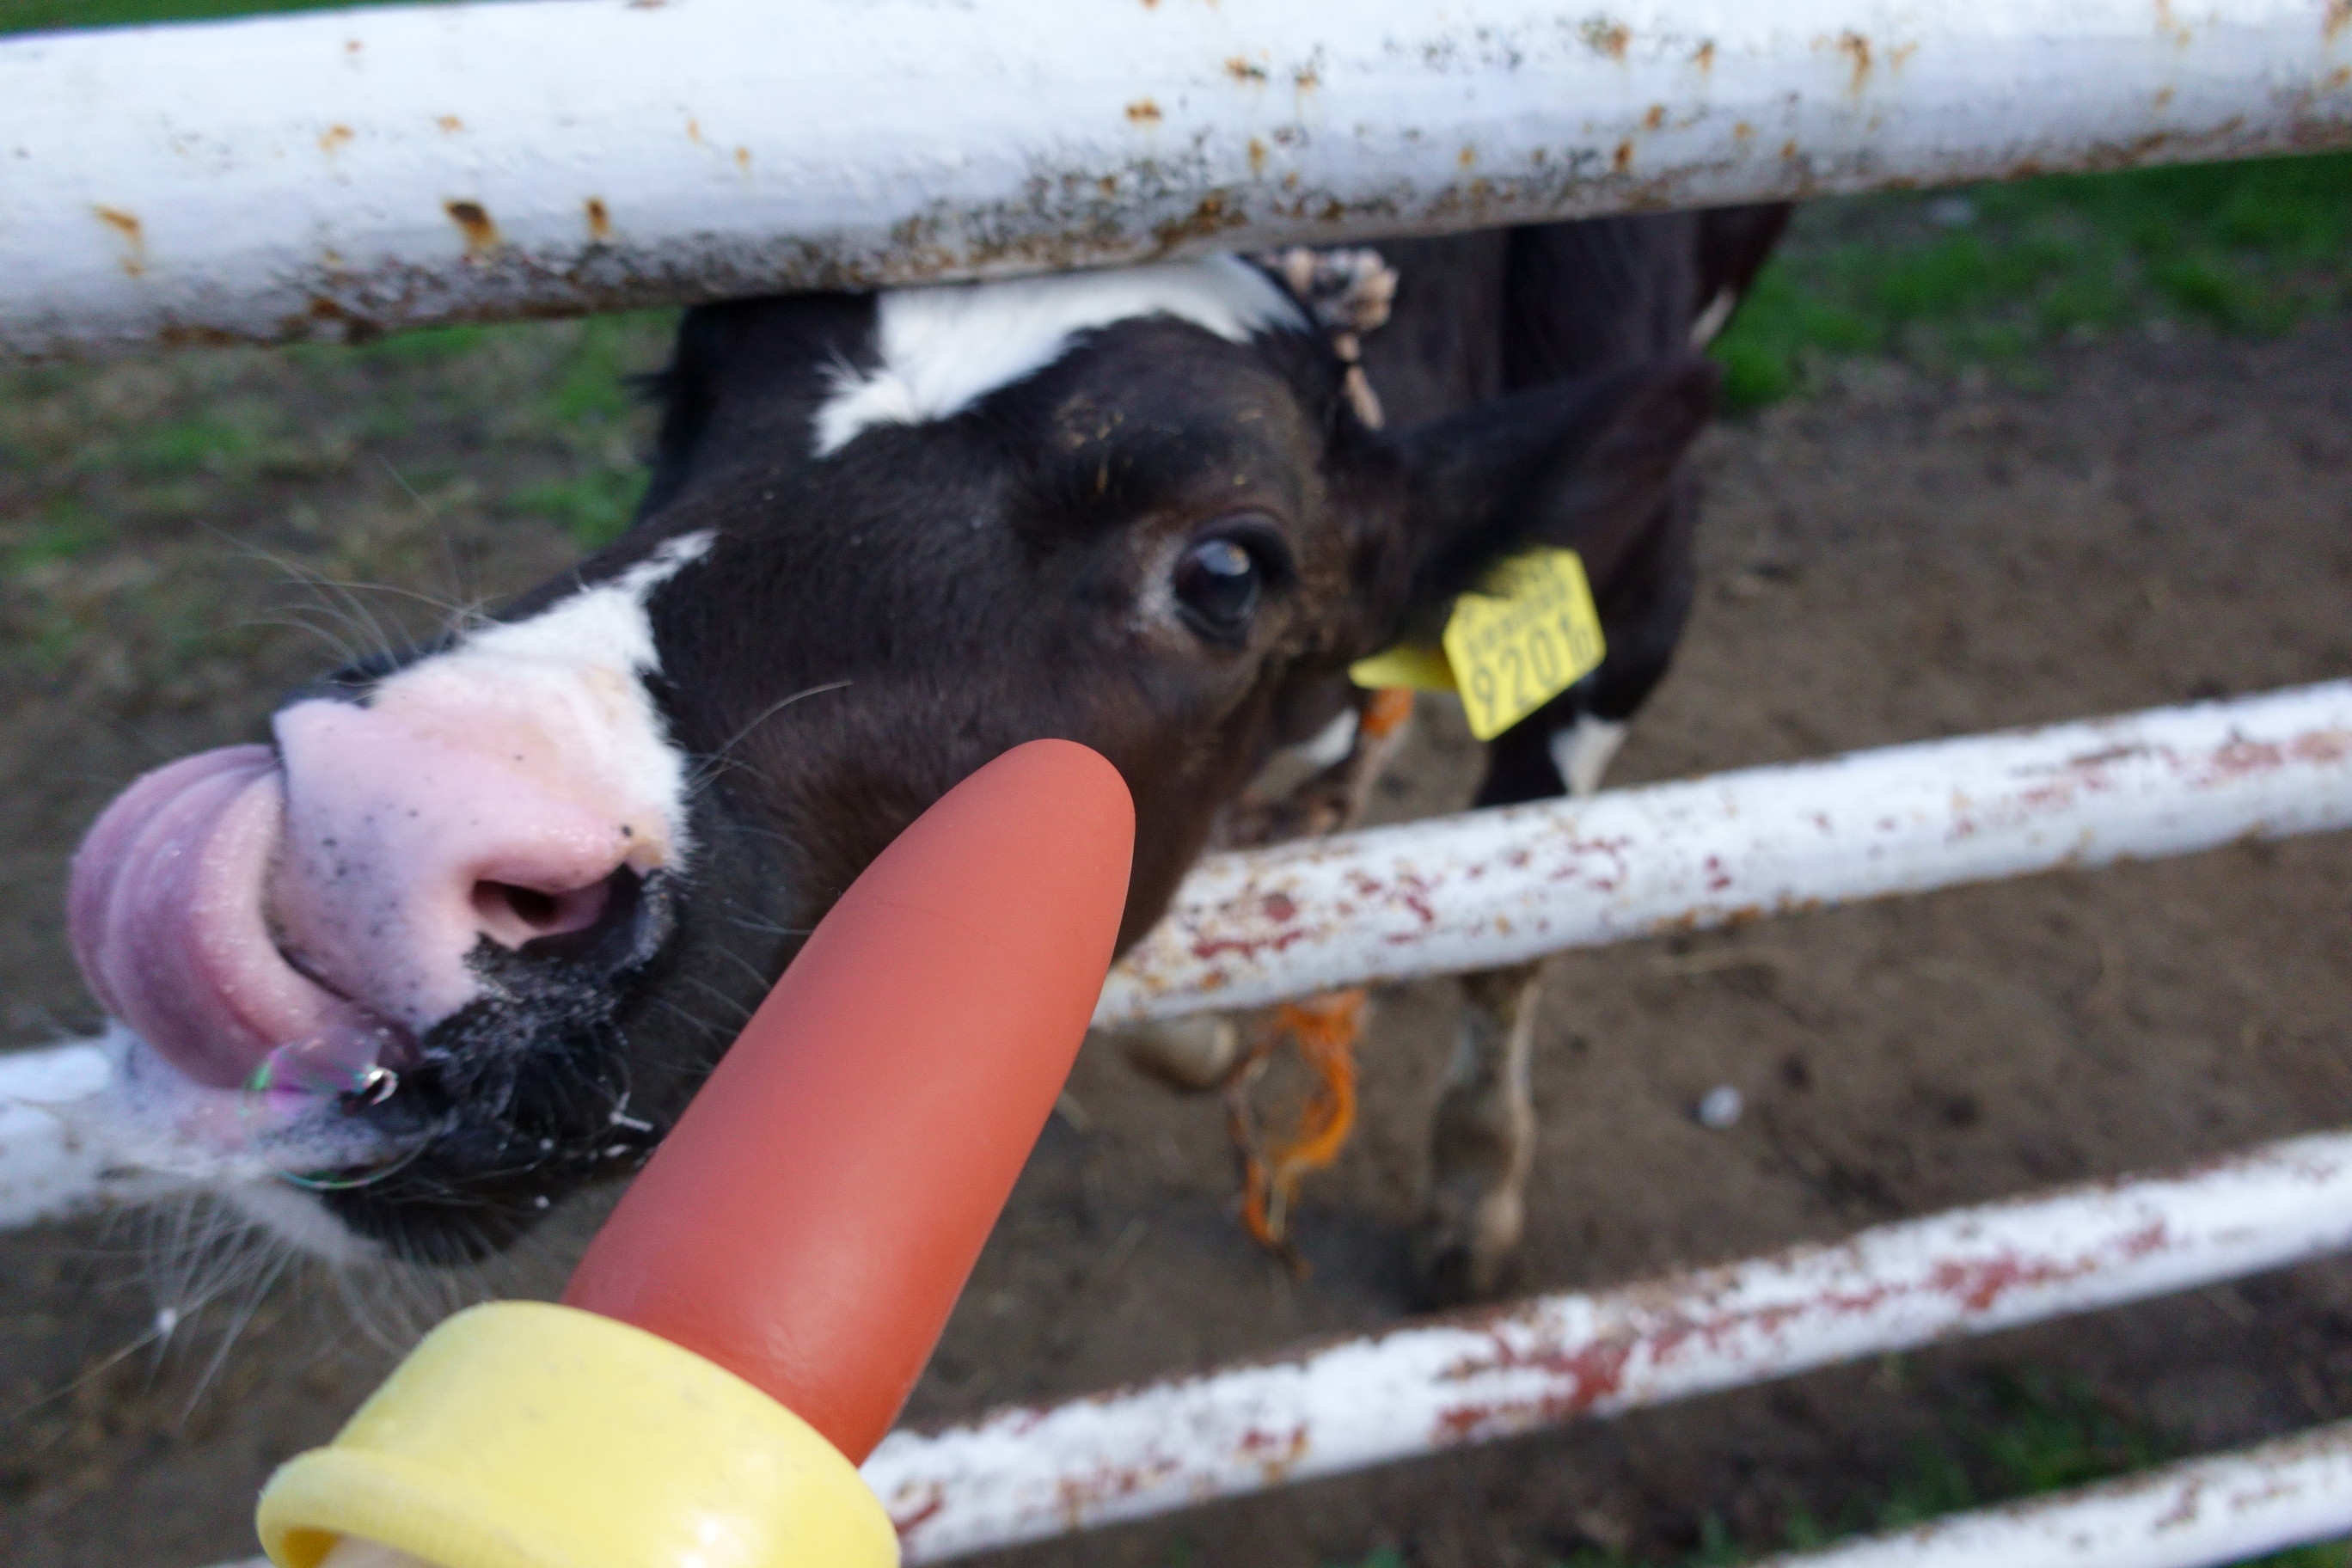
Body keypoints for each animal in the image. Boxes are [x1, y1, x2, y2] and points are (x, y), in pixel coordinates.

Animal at [59, 211, 1778, 1288]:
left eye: (1227, 569)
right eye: (678, 385)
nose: (370, 823)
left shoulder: (1636, 605)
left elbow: (1524, 923)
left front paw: (1473, 1189)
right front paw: (1242, 1016)